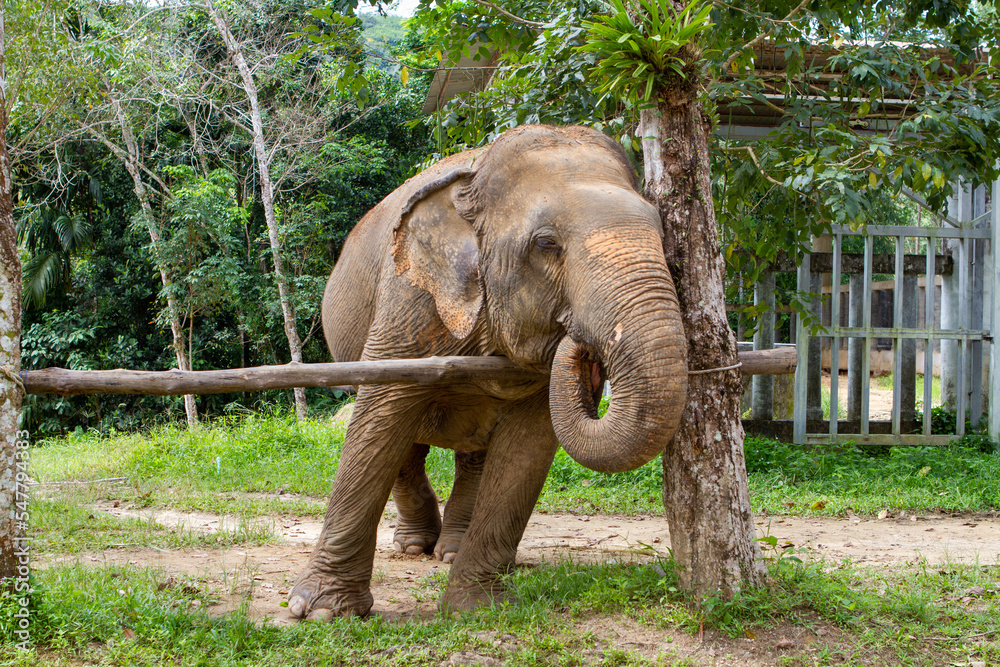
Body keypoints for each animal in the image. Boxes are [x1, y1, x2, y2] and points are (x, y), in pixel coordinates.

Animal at [288, 124, 688, 619]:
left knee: (471, 452)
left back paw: (451, 551)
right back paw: (414, 547)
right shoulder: (408, 301)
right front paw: (319, 611)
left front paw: (478, 608)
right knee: (404, 446)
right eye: (546, 244)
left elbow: (529, 445)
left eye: (663, 235)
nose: (582, 344)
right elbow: (378, 421)